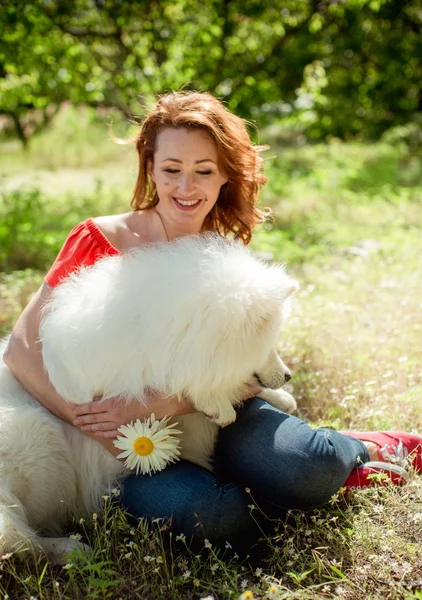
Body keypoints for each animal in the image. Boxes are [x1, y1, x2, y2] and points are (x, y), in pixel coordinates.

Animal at [0, 234, 296, 564]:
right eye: (268, 345)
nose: (288, 376)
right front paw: (217, 405)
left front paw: (281, 398)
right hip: (41, 440)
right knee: (18, 536)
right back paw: (71, 550)